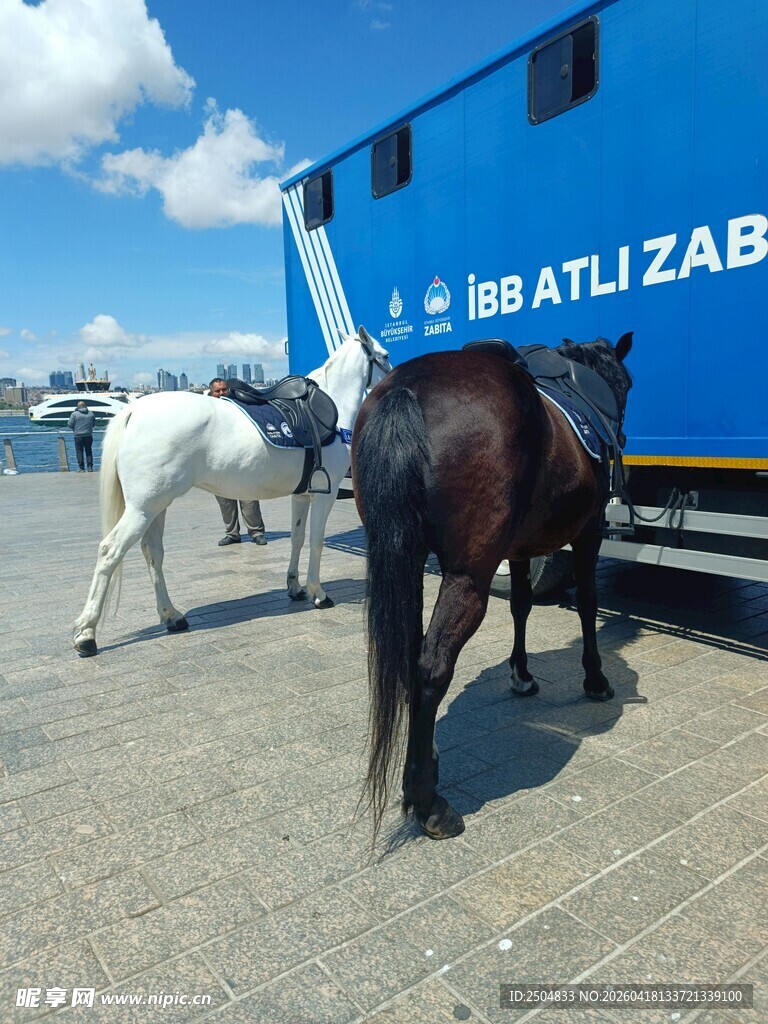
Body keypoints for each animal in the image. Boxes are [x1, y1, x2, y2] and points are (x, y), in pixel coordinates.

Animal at [73, 327, 391, 657]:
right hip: (142, 508)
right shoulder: (324, 495)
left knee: (153, 553)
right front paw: (318, 593)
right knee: (110, 552)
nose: (393, 376)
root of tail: (134, 409)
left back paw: (171, 616)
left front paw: (295, 586)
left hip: (155, 506)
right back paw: (86, 633)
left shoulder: (301, 494)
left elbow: (298, 539)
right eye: (385, 355)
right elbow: (316, 542)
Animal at [352, 333, 633, 840]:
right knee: (432, 665)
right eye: (627, 383)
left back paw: (425, 767)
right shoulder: (590, 531)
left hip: (405, 556)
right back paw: (428, 801)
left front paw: (521, 674)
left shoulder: (520, 549)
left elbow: (521, 604)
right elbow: (587, 602)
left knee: (409, 657)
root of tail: (407, 388)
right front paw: (596, 678)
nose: (620, 440)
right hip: (468, 575)